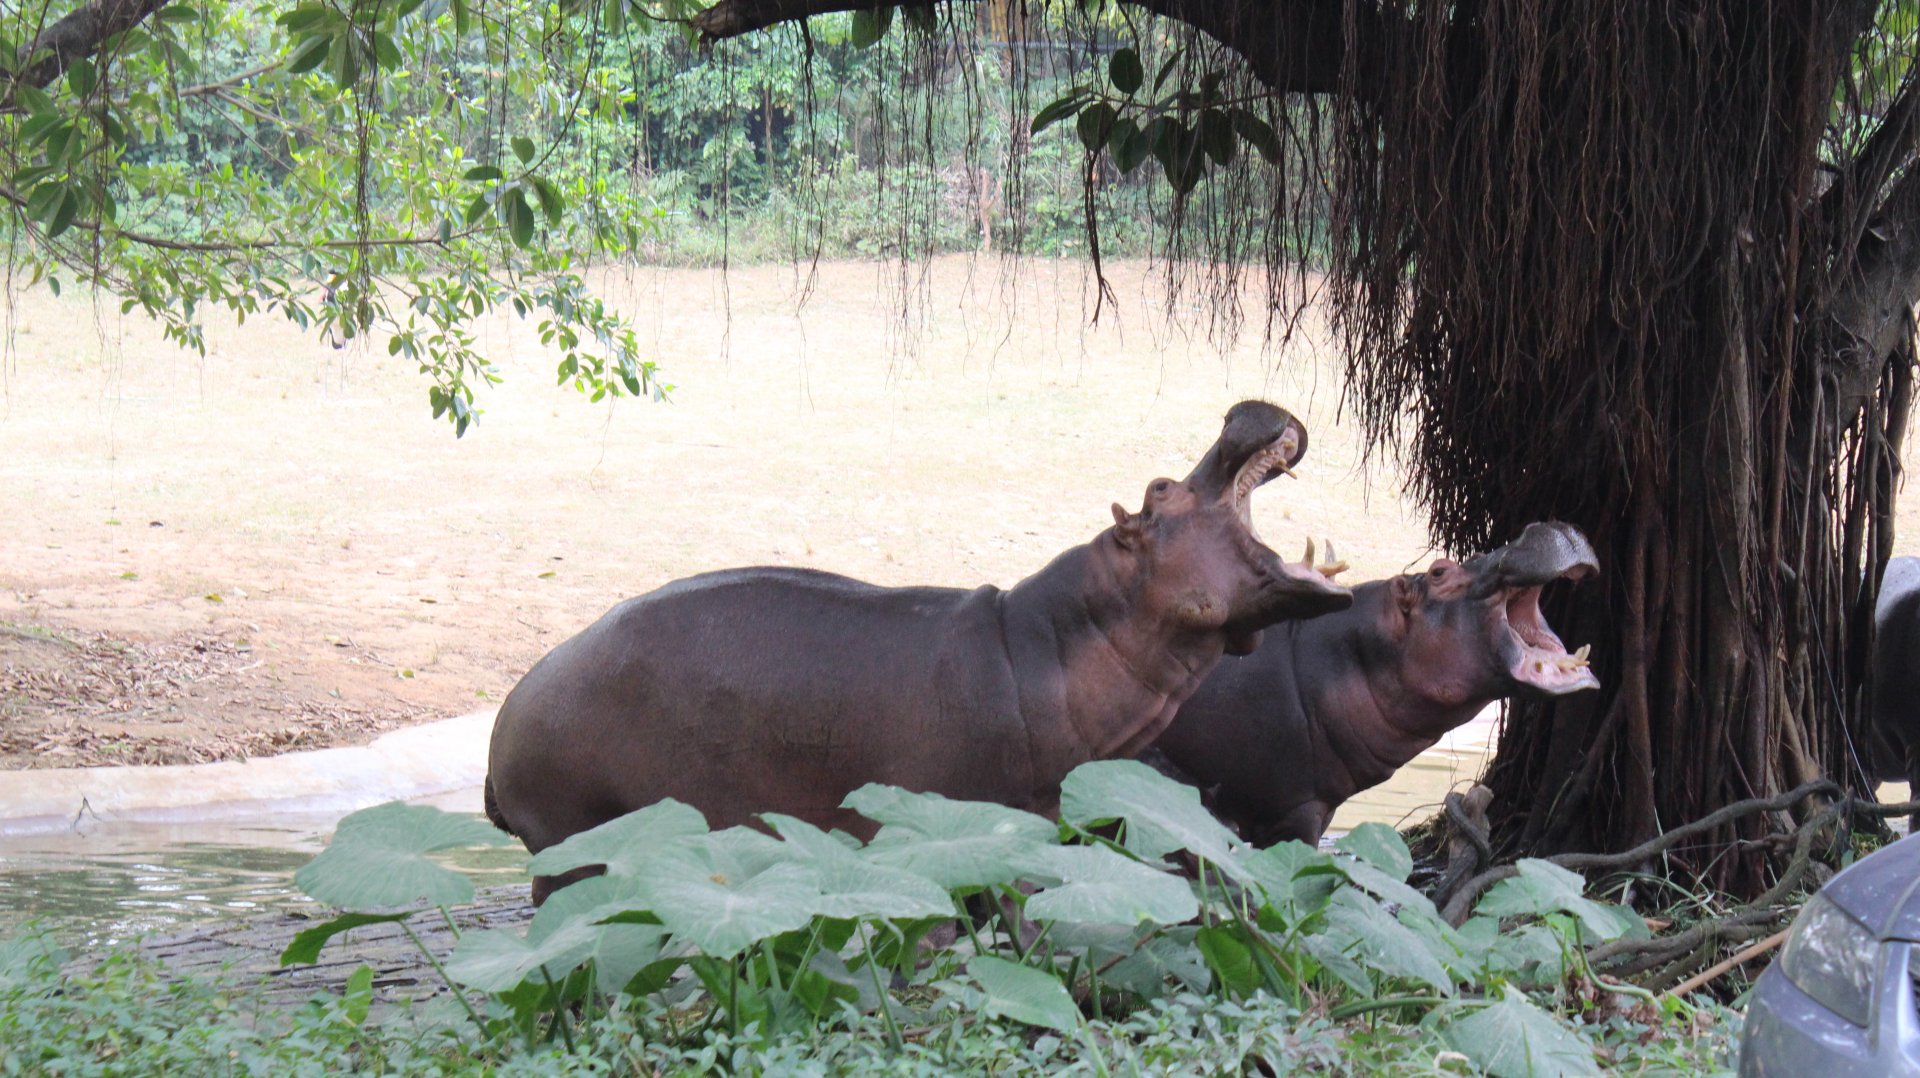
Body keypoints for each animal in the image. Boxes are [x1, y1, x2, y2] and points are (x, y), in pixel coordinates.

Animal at [486, 401, 1353, 900]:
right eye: (1161, 489)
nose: (1241, 412)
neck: (1048, 642)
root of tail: (508, 714)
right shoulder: (938, 830)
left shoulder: (1024, 828)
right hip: (572, 846)